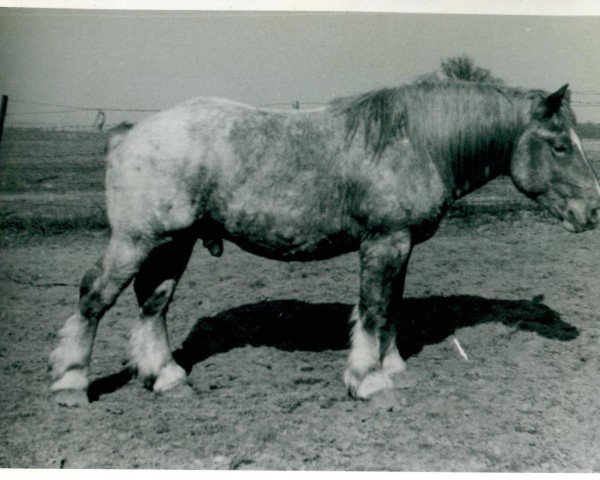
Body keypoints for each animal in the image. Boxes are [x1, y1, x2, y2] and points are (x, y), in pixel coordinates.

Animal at [48, 79, 600, 404]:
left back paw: (164, 375)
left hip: (171, 243)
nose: (592, 210)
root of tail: (129, 133)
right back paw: (71, 382)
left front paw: (391, 366)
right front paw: (369, 380)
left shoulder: (400, 246)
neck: (417, 140)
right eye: (559, 145)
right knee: (94, 297)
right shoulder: (384, 242)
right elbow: (374, 310)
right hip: (136, 241)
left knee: (152, 303)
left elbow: (391, 308)